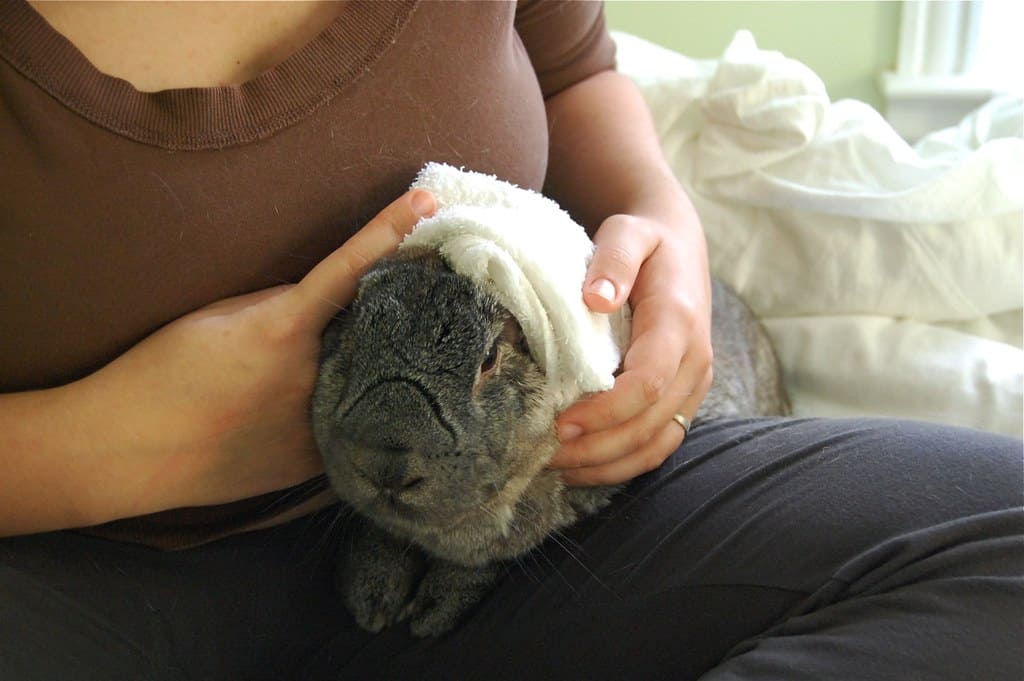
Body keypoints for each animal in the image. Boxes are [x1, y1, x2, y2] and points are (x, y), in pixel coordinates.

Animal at [311, 248, 790, 639]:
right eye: (350, 333)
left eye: (489, 359)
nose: (384, 464)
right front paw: (371, 599)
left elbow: (481, 560)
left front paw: (432, 612)